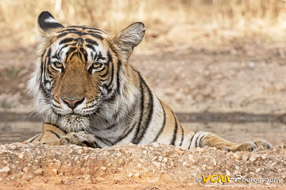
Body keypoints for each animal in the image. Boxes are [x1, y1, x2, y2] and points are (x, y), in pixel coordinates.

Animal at [25, 11, 272, 152]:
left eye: (96, 66)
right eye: (58, 65)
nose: (71, 102)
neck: (106, 124)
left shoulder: (181, 140)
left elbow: (210, 136)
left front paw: (252, 145)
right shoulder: (43, 139)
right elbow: (51, 142)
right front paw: (76, 139)